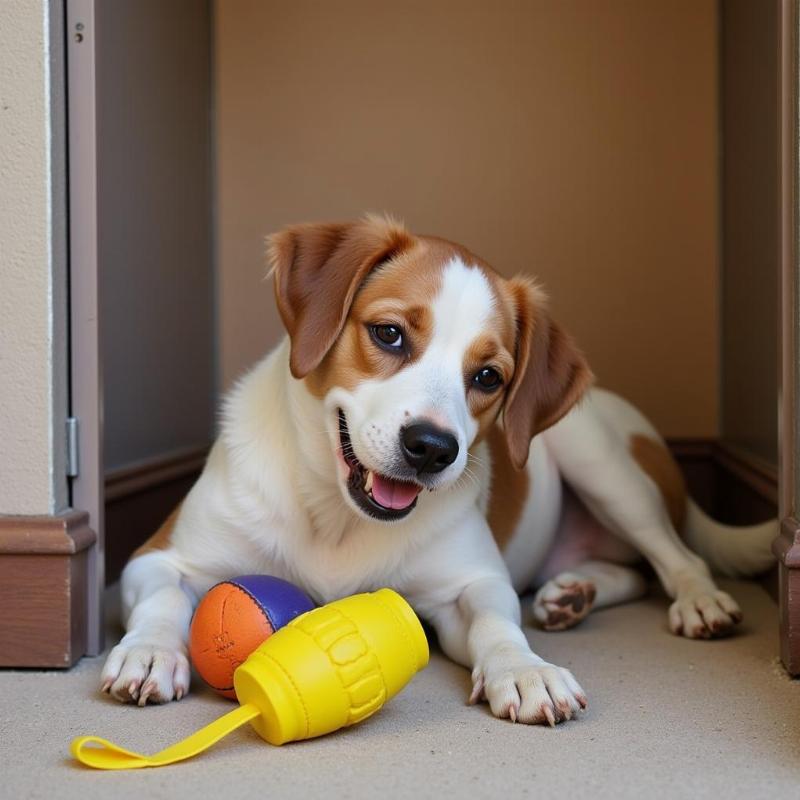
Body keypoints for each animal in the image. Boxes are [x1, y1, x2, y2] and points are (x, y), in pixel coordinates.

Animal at [101, 214, 776, 724]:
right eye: (389, 334)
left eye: (488, 377)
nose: (431, 448)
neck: (335, 517)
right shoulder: (159, 557)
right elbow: (163, 597)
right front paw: (149, 652)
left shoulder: (469, 585)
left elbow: (498, 624)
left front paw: (525, 670)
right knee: (632, 571)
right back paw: (572, 593)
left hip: (599, 460)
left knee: (677, 559)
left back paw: (695, 602)